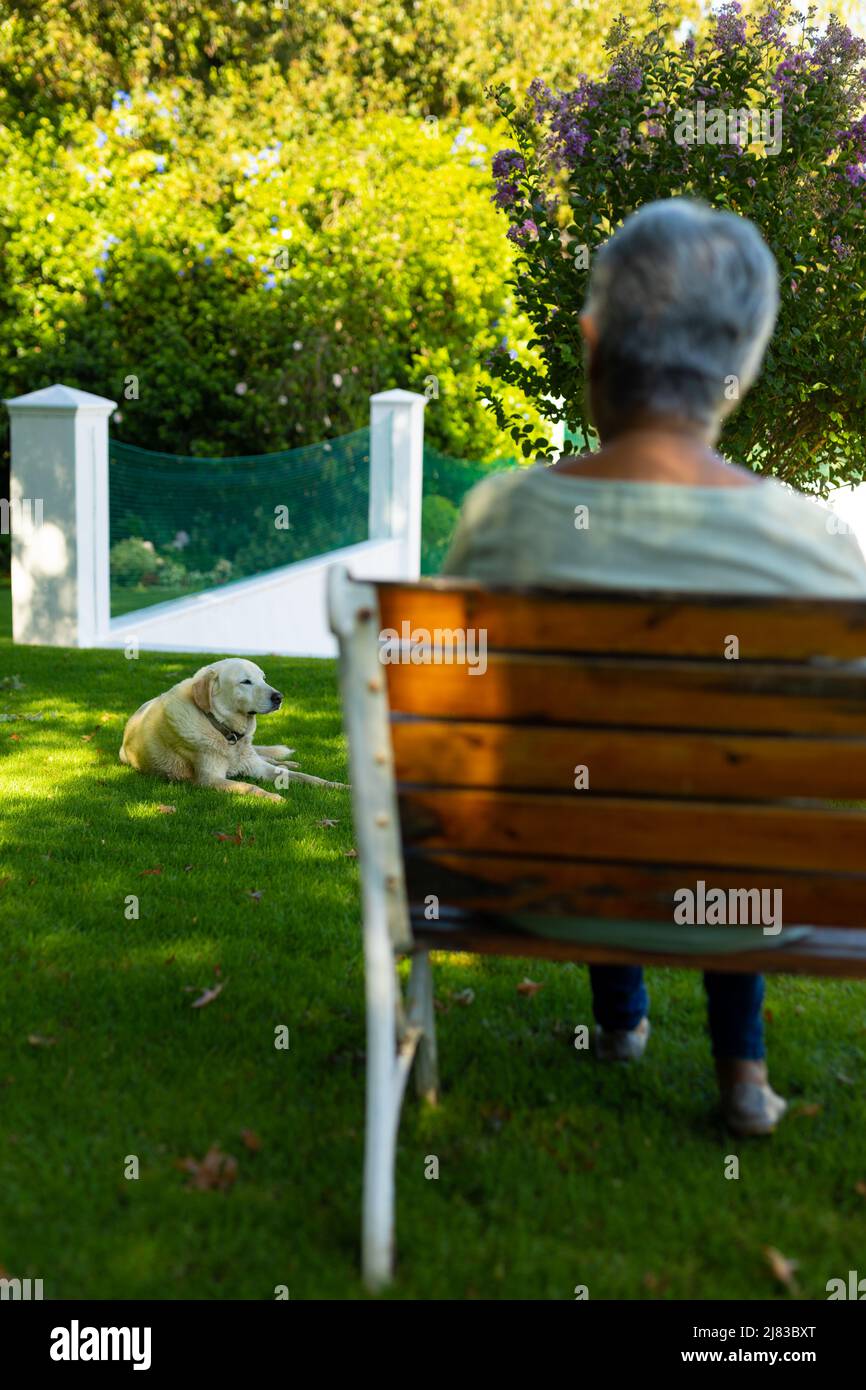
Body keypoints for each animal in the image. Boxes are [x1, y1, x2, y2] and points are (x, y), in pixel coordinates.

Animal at [119, 656, 348, 800]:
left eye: (263, 679)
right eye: (245, 682)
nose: (279, 697)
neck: (226, 732)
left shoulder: (258, 766)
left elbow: (308, 778)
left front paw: (338, 786)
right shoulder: (209, 780)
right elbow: (249, 787)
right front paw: (273, 796)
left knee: (271, 759)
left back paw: (290, 762)